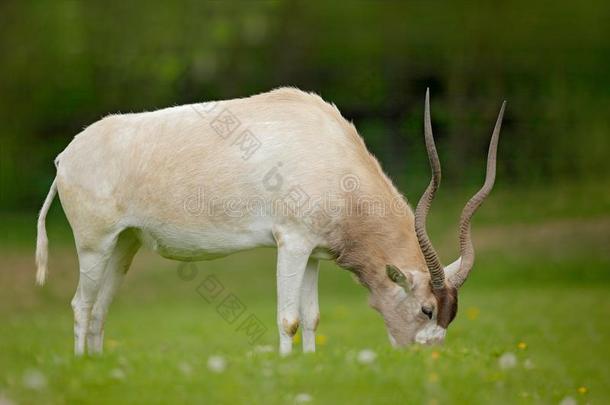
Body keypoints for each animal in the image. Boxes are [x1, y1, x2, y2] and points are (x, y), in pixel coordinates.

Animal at [34, 87, 504, 354]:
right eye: (426, 309)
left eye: (450, 315)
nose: (427, 357)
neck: (333, 153)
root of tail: (65, 158)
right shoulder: (290, 243)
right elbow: (288, 318)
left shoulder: (313, 252)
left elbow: (312, 318)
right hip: (94, 245)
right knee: (81, 305)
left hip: (124, 245)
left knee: (100, 308)